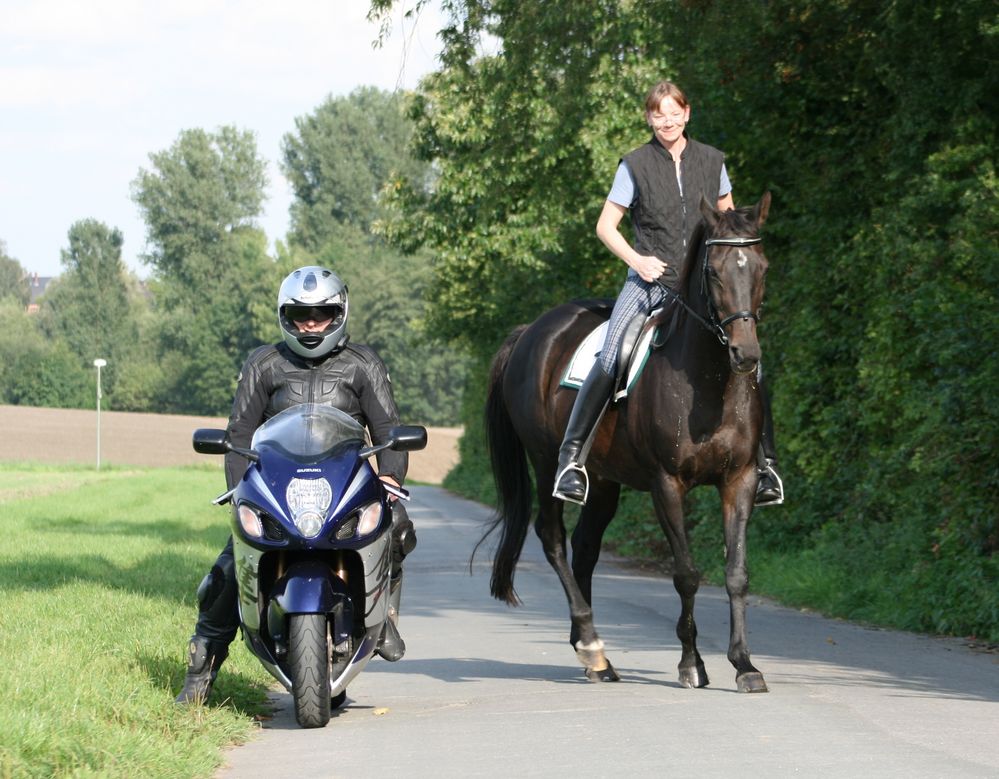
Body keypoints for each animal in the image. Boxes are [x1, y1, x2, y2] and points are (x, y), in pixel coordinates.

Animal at [484, 195, 772, 696]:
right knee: (553, 537)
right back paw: (591, 644)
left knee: (585, 547)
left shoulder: (740, 479)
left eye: (761, 268)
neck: (708, 380)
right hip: (544, 460)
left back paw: (592, 654)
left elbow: (737, 573)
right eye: (714, 272)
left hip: (602, 479)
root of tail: (531, 331)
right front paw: (692, 664)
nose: (746, 355)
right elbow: (686, 574)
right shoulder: (667, 484)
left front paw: (744, 665)